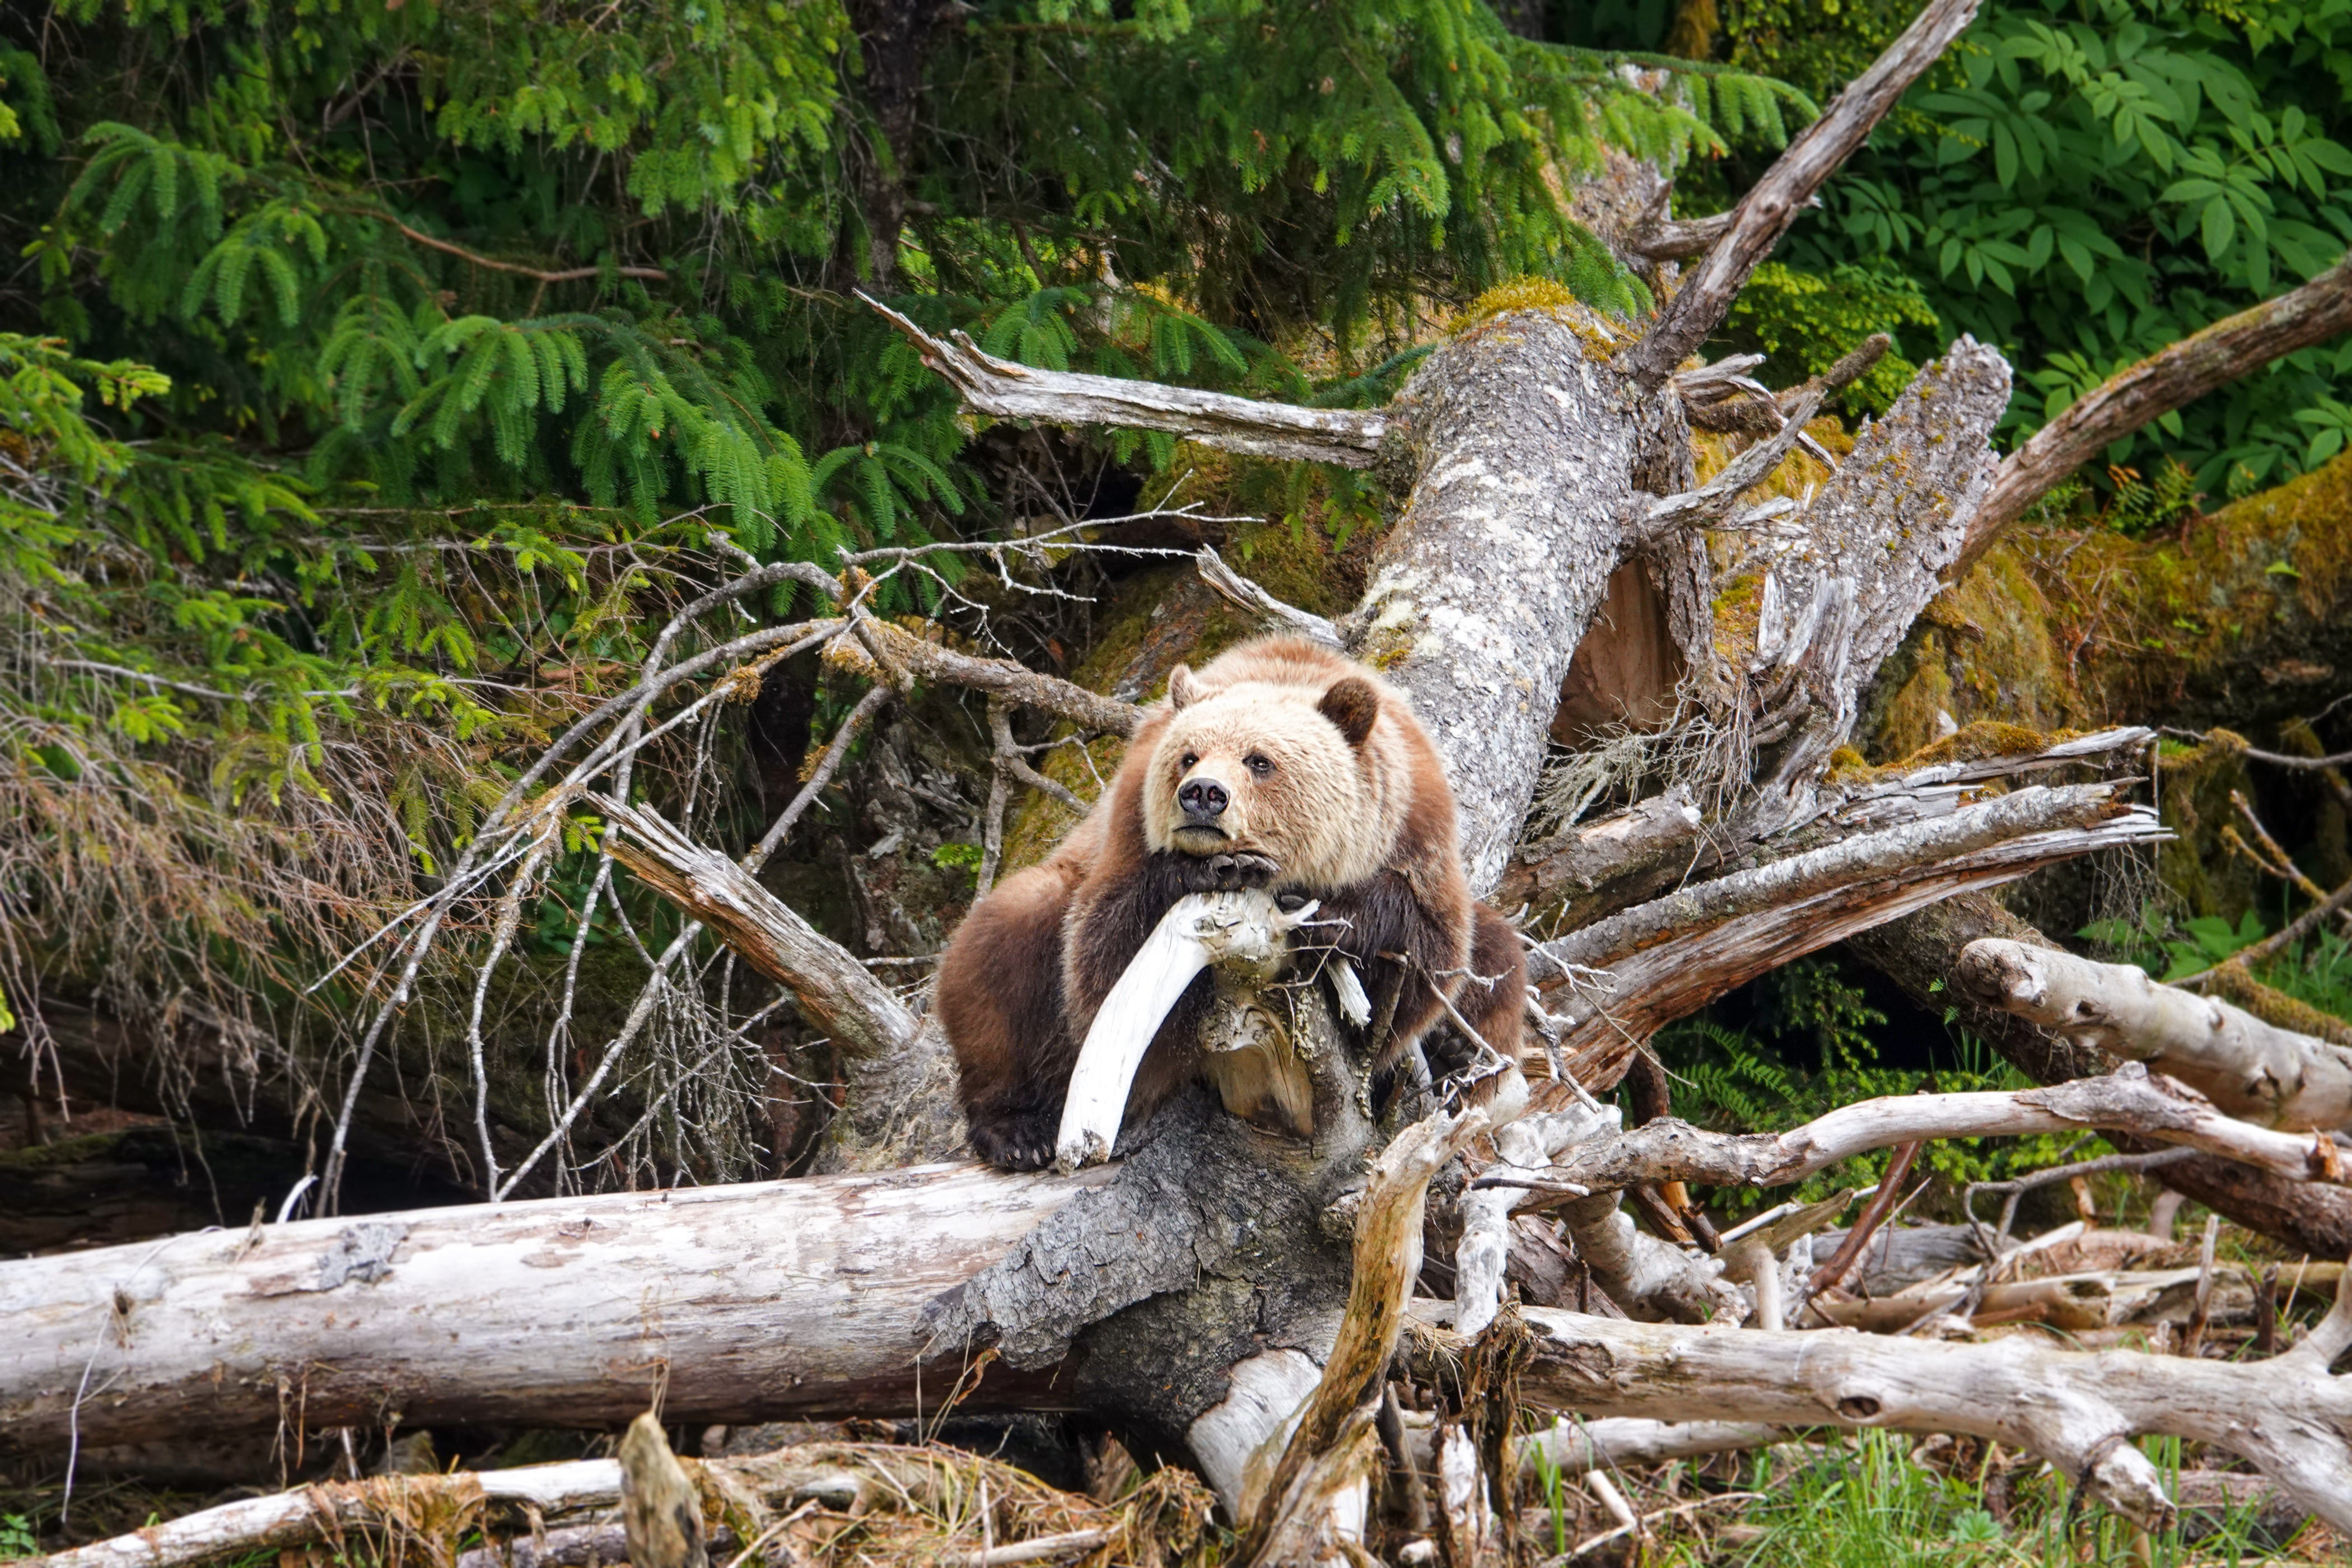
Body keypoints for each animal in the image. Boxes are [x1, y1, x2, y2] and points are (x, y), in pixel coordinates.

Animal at [936, 634, 1524, 1166]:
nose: (1203, 794)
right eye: (1188, 755)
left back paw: (1459, 1055)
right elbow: (1103, 966)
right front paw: (1211, 869)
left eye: (1259, 761)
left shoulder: (1415, 833)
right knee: (1002, 949)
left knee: (1499, 955)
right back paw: (1017, 1132)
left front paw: (1333, 922)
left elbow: (1425, 960)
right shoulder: (1129, 825)